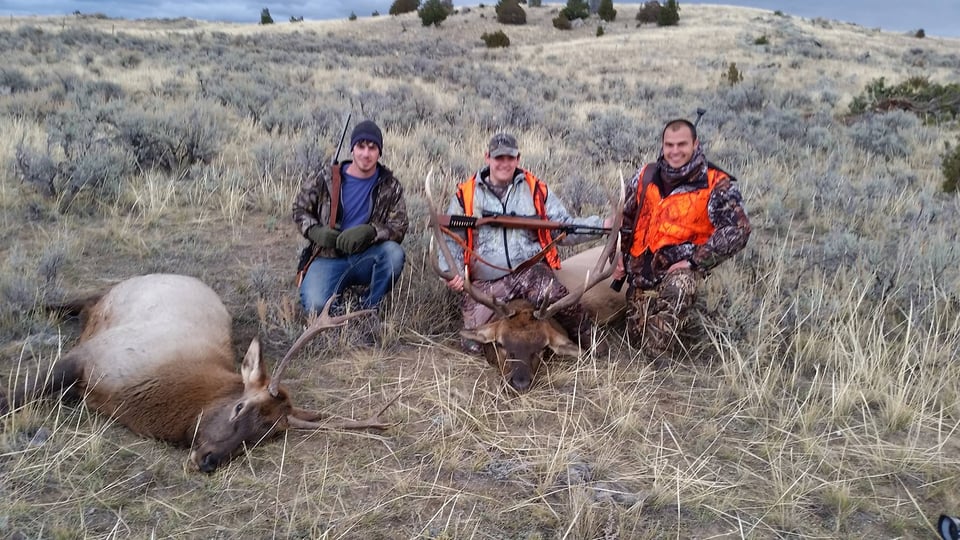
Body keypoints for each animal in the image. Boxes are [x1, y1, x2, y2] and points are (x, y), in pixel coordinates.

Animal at [0, 273, 395, 473]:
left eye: (266, 437)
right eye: (239, 408)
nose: (208, 461)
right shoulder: (86, 356)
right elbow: (15, 395)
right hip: (105, 299)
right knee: (71, 300)